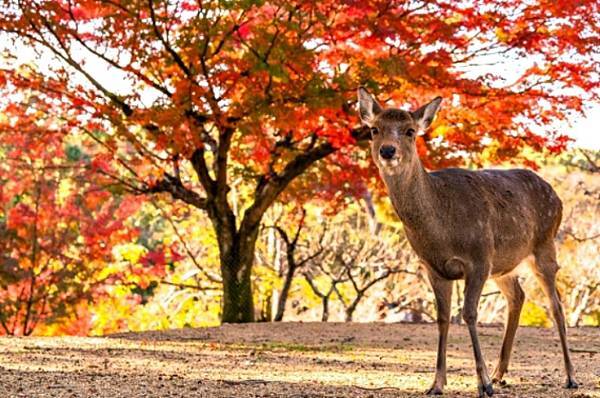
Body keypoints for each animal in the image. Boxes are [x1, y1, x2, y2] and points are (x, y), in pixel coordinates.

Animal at [358, 88, 580, 398]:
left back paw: (570, 377)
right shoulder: (434, 267)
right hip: (504, 264)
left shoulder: (478, 259)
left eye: (410, 131)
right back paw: (501, 373)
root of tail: (556, 196)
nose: (388, 151)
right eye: (374, 129)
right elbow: (442, 317)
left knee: (556, 306)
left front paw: (483, 384)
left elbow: (469, 314)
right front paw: (437, 384)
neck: (441, 229)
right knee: (518, 296)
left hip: (544, 245)